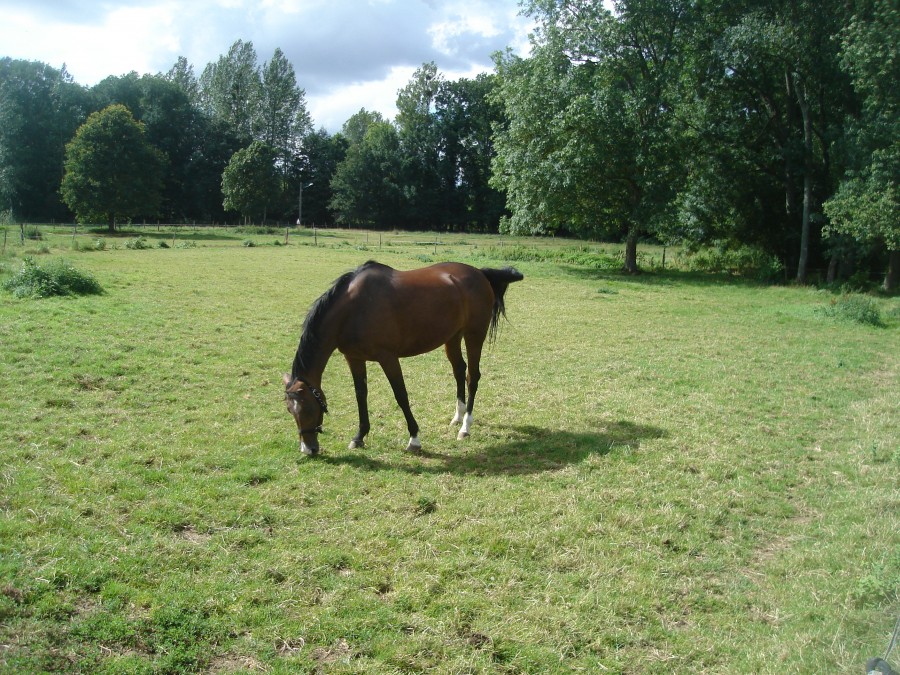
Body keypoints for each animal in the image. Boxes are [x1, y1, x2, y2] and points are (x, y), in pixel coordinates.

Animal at [283, 260, 524, 455]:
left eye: (307, 408)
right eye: (289, 410)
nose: (308, 449)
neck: (354, 309)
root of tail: (480, 273)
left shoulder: (388, 358)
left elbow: (401, 395)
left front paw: (414, 439)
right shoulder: (354, 358)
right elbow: (361, 395)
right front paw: (359, 437)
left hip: (475, 335)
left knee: (472, 376)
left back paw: (465, 427)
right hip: (453, 337)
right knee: (459, 370)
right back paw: (458, 416)